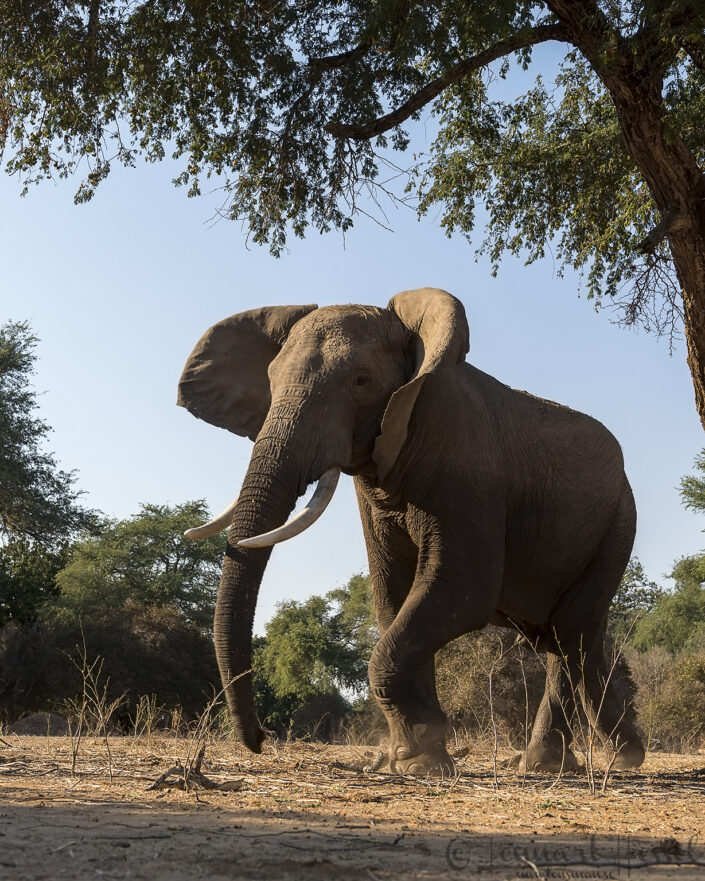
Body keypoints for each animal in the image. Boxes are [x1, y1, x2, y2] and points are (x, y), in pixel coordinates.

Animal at [177, 287, 645, 776]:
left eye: (360, 381)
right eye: (270, 381)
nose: (260, 740)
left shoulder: (469, 472)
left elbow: (460, 589)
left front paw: (421, 758)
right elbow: (392, 592)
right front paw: (420, 755)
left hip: (618, 523)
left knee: (571, 633)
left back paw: (579, 760)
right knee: (565, 635)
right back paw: (597, 758)